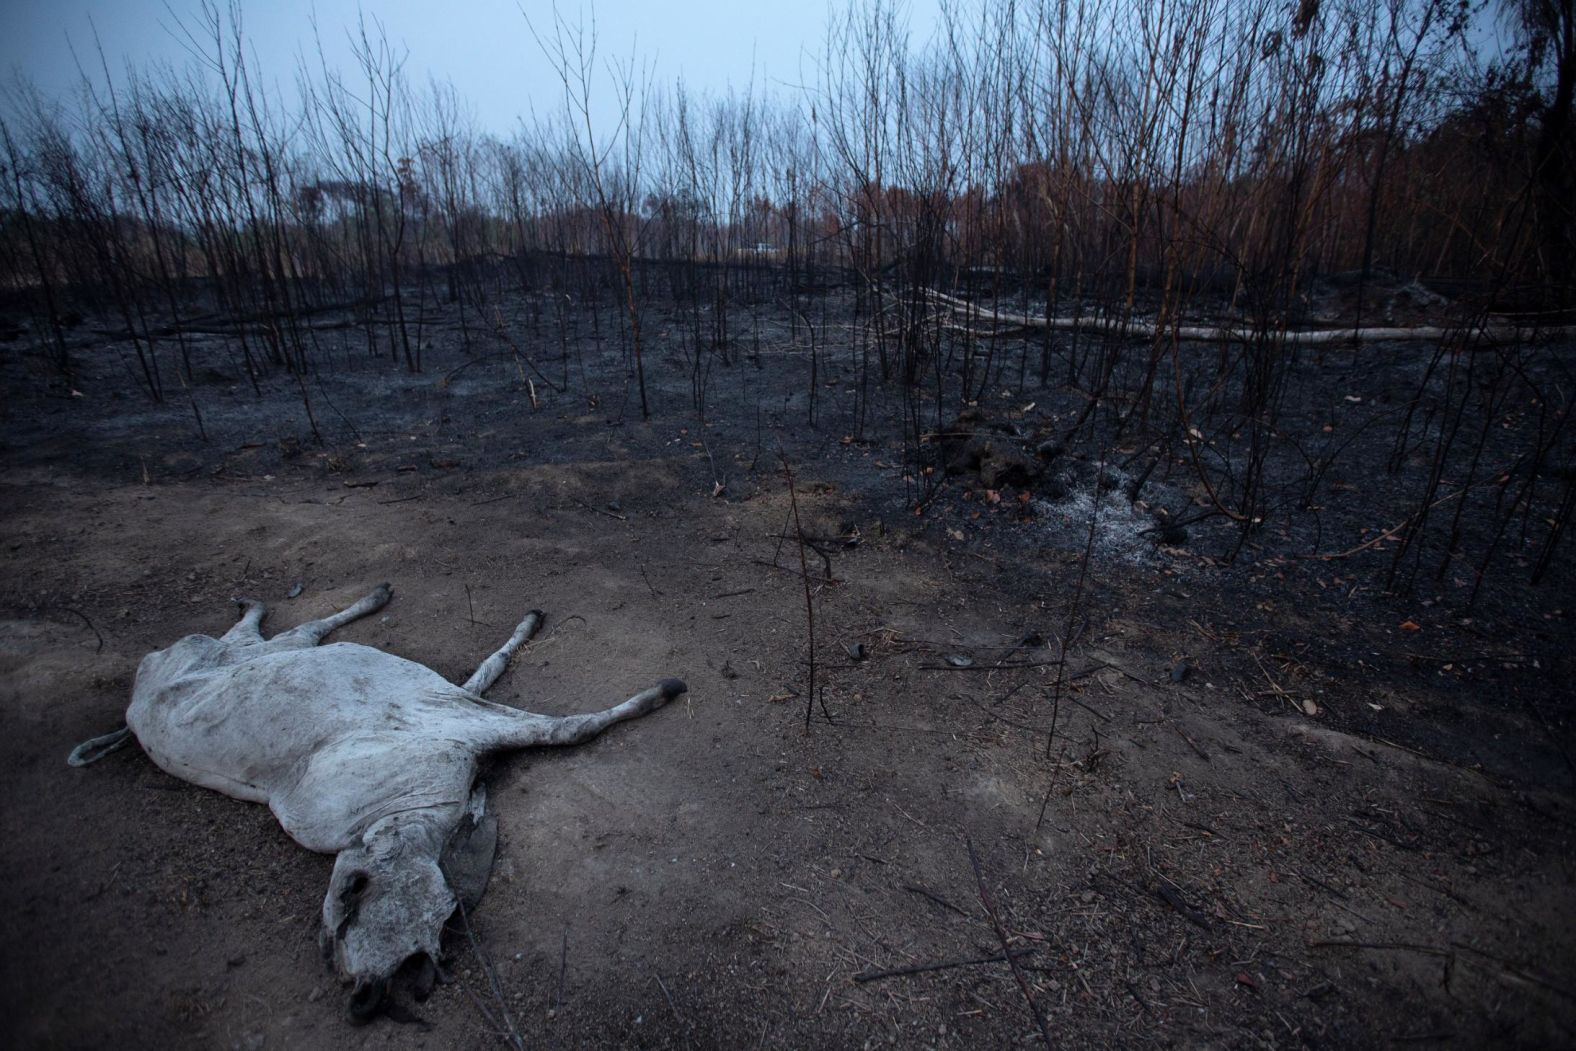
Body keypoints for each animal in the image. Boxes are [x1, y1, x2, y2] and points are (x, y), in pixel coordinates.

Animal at [69, 583, 683, 1021]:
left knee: (284, 632)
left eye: (355, 921)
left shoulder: (457, 712)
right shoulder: (457, 714)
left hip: (226, 655)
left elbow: (541, 706)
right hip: (219, 656)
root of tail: (137, 696)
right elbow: (535, 702)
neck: (406, 809)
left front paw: (654, 691)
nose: (362, 1003)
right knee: (283, 633)